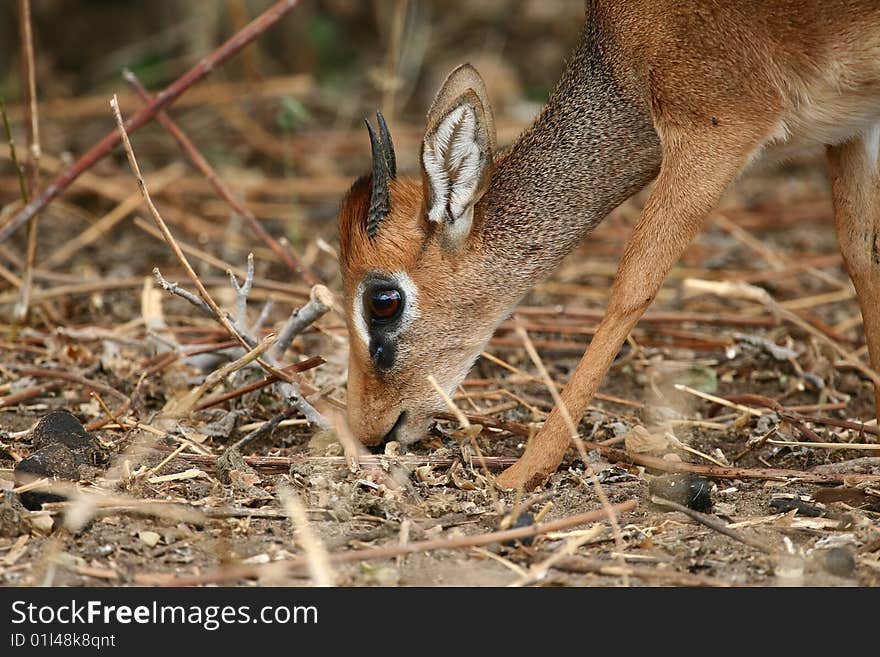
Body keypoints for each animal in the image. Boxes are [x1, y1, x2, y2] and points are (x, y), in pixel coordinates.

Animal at [336, 0, 880, 490]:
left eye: (383, 300)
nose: (368, 429)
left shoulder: (717, 130)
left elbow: (633, 283)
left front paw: (522, 472)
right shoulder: (852, 128)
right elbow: (860, 250)